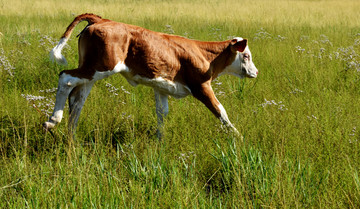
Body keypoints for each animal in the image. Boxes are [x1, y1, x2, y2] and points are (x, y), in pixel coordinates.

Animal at [43, 13, 258, 137]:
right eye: (246, 55)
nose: (256, 72)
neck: (204, 55)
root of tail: (102, 20)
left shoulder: (161, 87)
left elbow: (162, 113)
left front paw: (159, 140)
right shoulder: (201, 87)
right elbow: (221, 111)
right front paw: (238, 138)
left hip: (91, 71)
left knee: (77, 99)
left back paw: (71, 134)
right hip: (100, 67)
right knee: (65, 78)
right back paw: (53, 120)